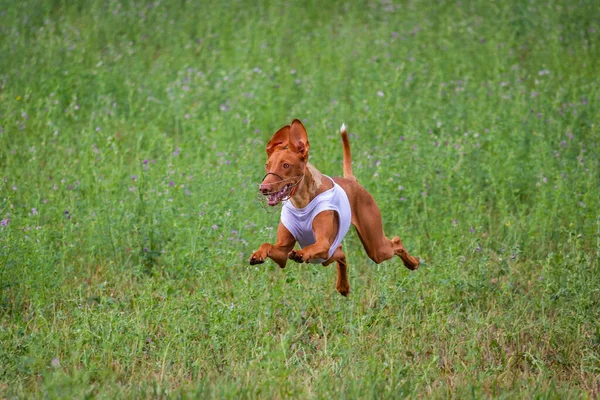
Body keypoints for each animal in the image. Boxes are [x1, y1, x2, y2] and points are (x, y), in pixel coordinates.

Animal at [248, 120, 418, 296]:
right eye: (267, 165)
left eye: (286, 165)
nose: (263, 188)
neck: (301, 204)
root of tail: (352, 180)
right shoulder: (282, 254)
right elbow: (267, 245)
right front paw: (258, 254)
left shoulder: (323, 244)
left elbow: (310, 247)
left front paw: (301, 253)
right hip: (333, 254)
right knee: (341, 253)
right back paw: (343, 286)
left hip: (375, 248)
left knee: (396, 242)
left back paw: (413, 263)